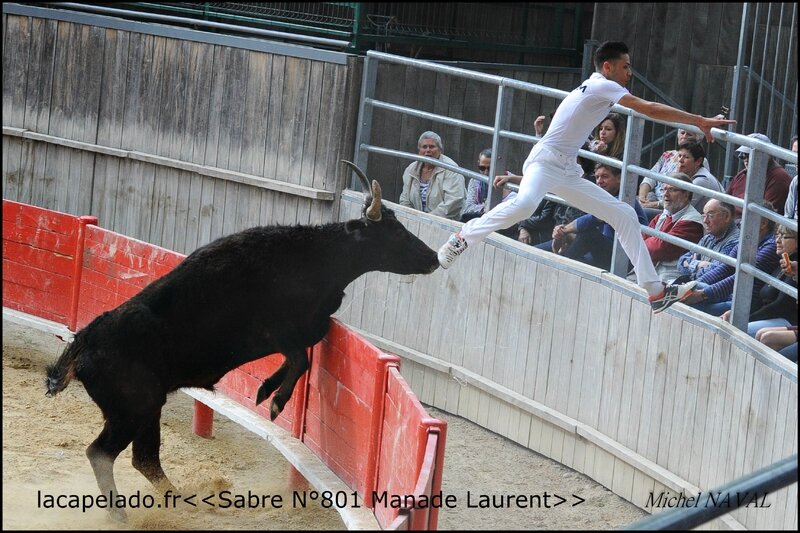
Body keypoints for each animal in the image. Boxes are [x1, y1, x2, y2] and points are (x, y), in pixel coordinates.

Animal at [47, 161, 440, 520]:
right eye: (395, 231)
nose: (433, 257)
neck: (314, 258)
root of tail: (83, 341)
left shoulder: (302, 332)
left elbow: (298, 359)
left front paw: (265, 391)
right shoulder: (278, 331)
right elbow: (301, 360)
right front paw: (274, 401)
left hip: (146, 409)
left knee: (145, 459)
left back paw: (186, 502)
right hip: (134, 409)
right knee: (103, 453)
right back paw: (122, 513)